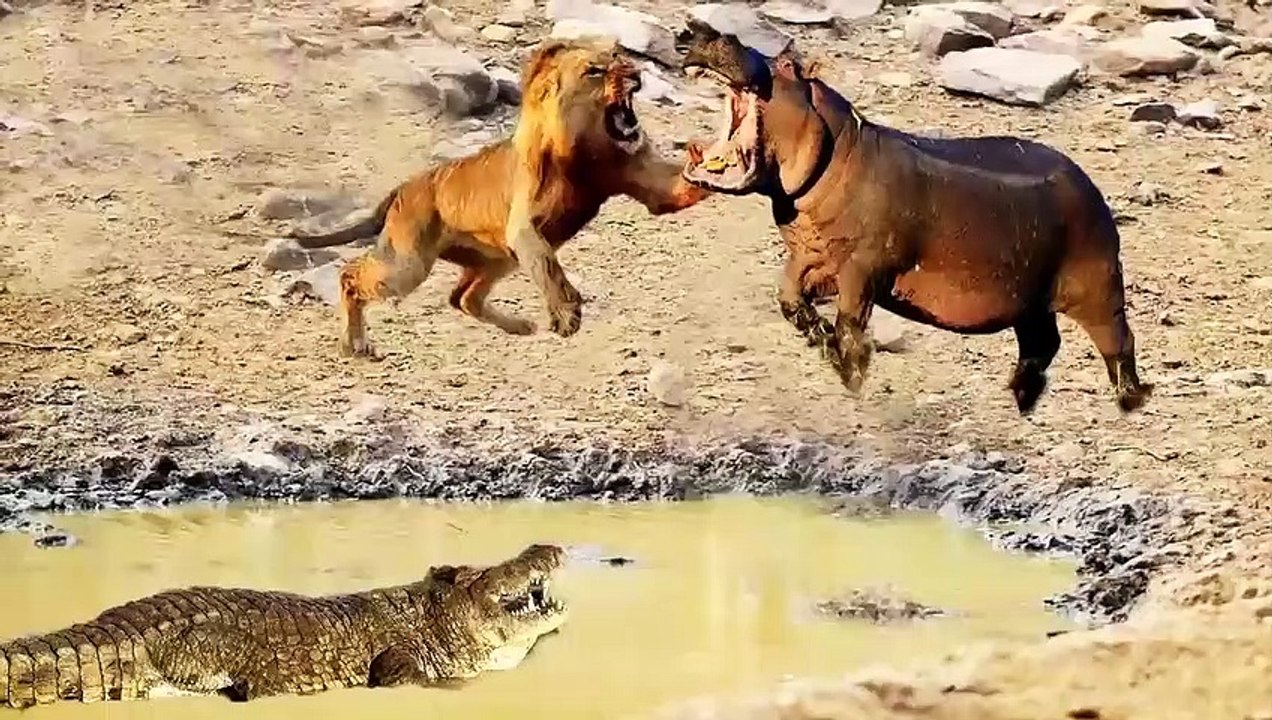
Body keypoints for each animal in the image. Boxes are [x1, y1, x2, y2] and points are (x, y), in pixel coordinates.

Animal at [287, 37, 713, 358]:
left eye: (620, 58)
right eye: (595, 70)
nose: (636, 73)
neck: (588, 151)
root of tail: (404, 188)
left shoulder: (644, 182)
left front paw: (708, 159)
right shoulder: (523, 228)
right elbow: (547, 265)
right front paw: (566, 314)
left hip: (496, 259)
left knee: (462, 299)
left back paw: (521, 326)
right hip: (409, 264)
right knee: (351, 276)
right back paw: (355, 343)